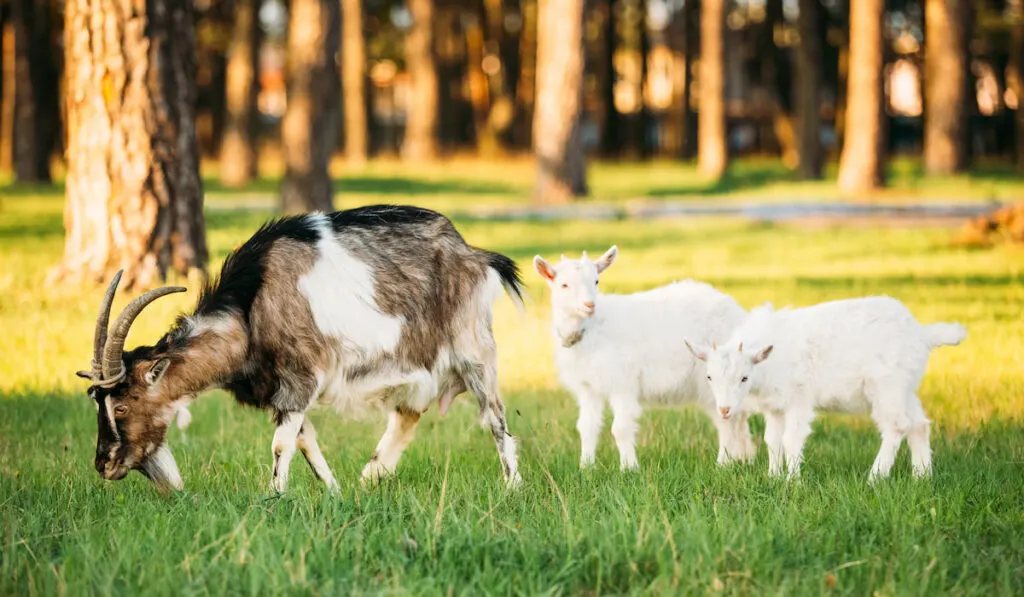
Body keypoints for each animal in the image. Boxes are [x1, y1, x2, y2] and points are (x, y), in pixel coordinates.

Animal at [77, 205, 528, 495]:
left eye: (122, 405)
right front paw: (335, 493)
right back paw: (370, 478)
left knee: (496, 420)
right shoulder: (285, 392)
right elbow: (306, 442)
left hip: (473, 349)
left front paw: (272, 498)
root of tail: (473, 254)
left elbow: (281, 445)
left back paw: (512, 488)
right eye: (97, 402)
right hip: (420, 364)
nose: (103, 463)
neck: (250, 308)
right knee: (408, 415)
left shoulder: (299, 380)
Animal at [532, 247, 757, 471]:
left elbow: (620, 428)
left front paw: (629, 468)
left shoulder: (622, 381)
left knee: (727, 419)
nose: (589, 305)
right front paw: (586, 467)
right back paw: (744, 457)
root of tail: (737, 312)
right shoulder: (588, 388)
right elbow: (587, 427)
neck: (590, 329)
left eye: (596, 281)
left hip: (719, 377)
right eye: (564, 285)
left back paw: (723, 462)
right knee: (737, 417)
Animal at [688, 296, 966, 483]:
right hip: (905, 388)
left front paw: (792, 482)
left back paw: (874, 479)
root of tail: (923, 335)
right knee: (919, 424)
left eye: (744, 378)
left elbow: (790, 439)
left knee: (897, 425)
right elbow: (772, 441)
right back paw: (922, 477)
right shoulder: (775, 406)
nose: (725, 410)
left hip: (888, 386)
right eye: (709, 377)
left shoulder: (799, 399)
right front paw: (773, 477)